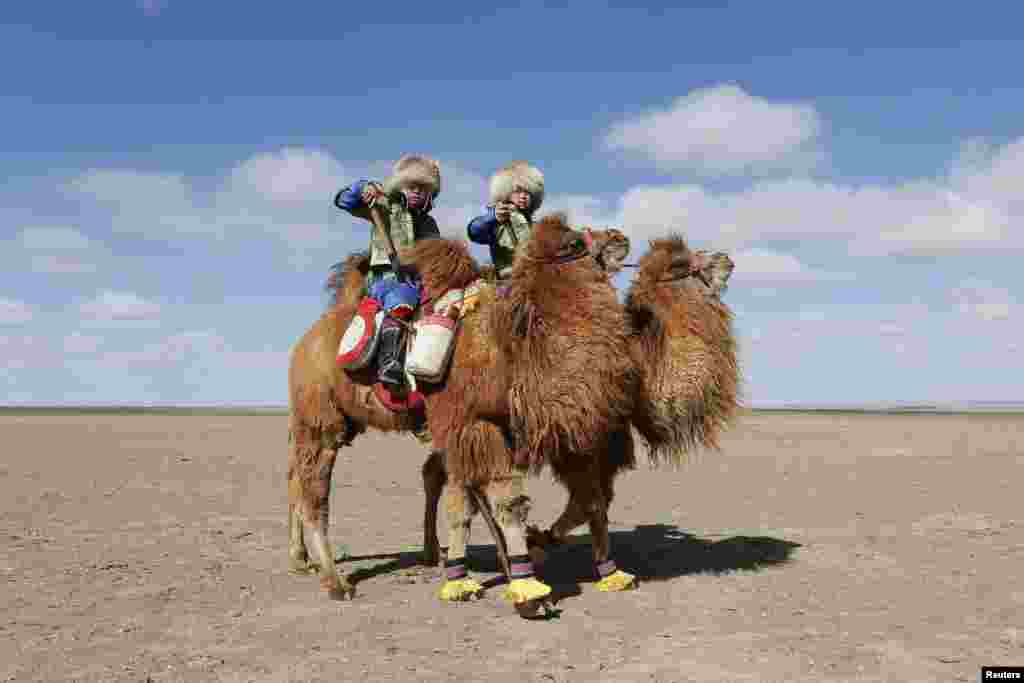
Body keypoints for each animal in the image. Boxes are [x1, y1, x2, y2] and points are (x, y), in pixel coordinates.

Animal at [288, 215, 638, 610]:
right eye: (574, 243)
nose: (619, 237)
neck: (511, 352)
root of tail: (306, 341)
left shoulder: (492, 428)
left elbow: (578, 498)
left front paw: (606, 572)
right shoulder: (471, 423)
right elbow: (499, 502)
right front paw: (521, 587)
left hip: (342, 420)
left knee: (302, 479)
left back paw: (309, 561)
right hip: (319, 415)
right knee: (314, 490)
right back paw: (335, 581)